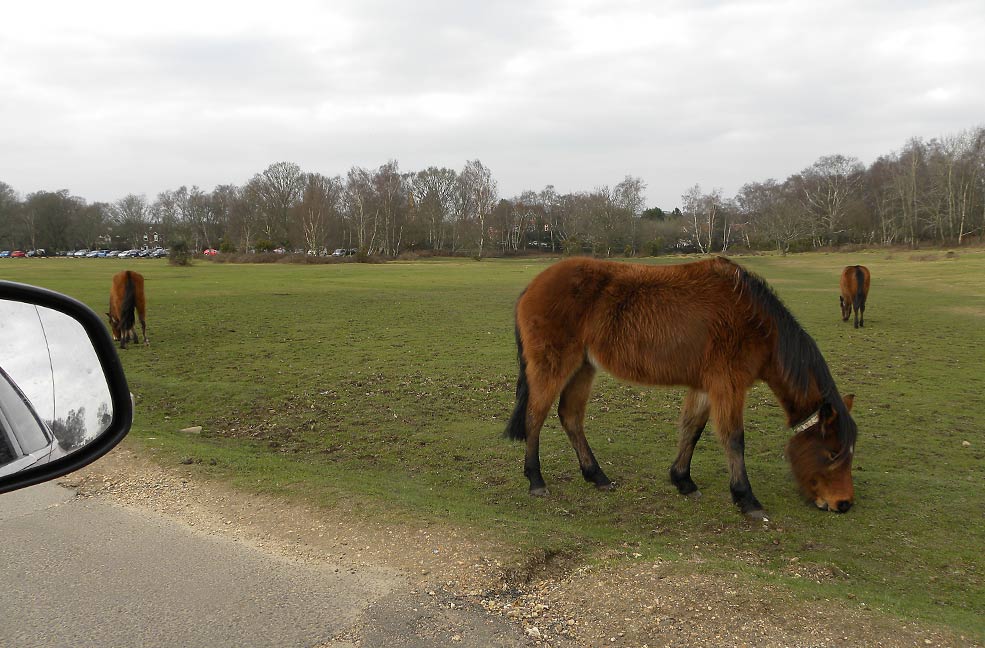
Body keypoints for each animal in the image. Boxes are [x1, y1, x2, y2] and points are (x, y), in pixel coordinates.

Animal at [504, 256, 856, 520]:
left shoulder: (705, 386)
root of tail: (533, 286)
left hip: (582, 368)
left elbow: (692, 430)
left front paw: (683, 480)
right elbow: (734, 440)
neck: (756, 320)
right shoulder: (728, 385)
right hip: (553, 366)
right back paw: (535, 479)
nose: (844, 504)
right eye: (833, 452)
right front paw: (746, 498)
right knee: (535, 417)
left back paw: (597, 476)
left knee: (570, 417)